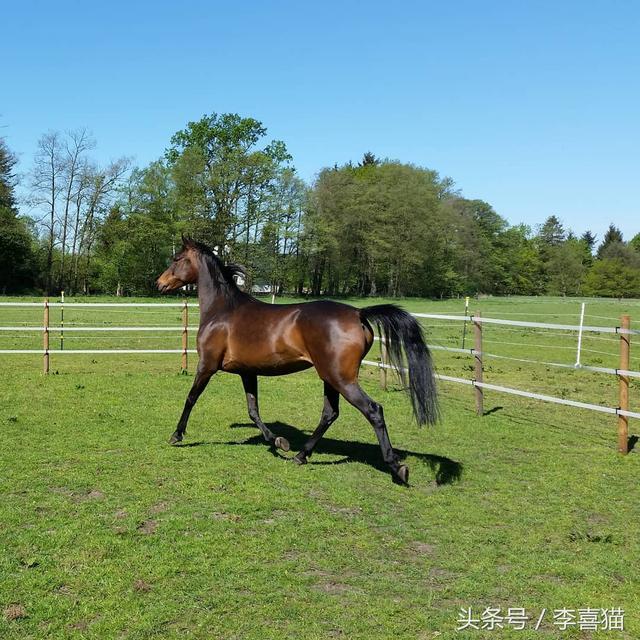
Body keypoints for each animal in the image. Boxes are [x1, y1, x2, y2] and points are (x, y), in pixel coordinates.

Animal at [156, 238, 438, 482]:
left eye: (177, 258)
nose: (159, 284)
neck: (222, 310)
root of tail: (358, 313)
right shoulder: (248, 372)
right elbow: (253, 410)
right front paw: (279, 442)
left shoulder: (207, 366)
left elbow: (191, 398)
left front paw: (176, 435)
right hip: (330, 377)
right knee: (330, 413)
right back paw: (301, 455)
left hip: (341, 378)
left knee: (373, 410)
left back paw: (396, 467)